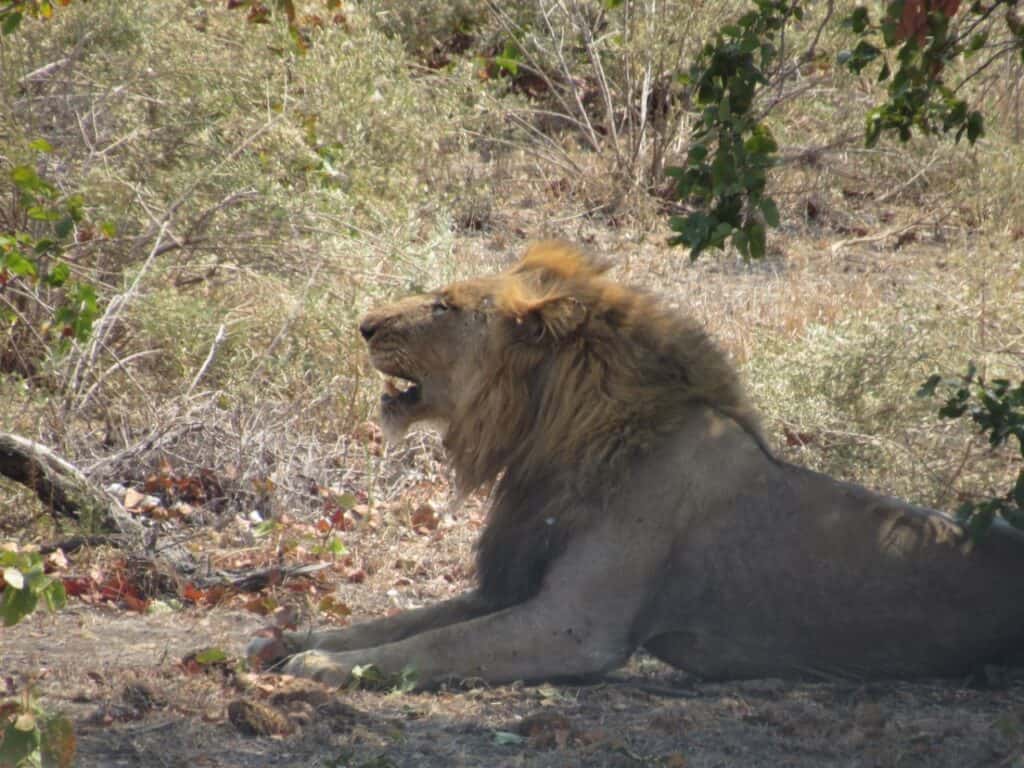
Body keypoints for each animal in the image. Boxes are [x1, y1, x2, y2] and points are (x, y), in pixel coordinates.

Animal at [250, 241, 1024, 688]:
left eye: (444, 306)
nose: (364, 325)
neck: (550, 435)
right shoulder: (513, 583)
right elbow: (405, 621)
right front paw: (301, 638)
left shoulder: (574, 624)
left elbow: (436, 645)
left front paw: (324, 666)